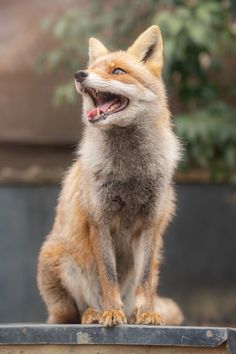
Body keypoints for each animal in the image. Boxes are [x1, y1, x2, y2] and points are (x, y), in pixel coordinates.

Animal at [37, 25, 183, 326]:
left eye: (117, 71)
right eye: (92, 68)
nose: (80, 74)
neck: (130, 173)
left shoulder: (150, 223)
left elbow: (145, 281)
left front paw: (147, 313)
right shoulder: (99, 220)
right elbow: (108, 276)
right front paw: (111, 312)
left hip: (156, 256)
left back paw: (131, 313)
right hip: (61, 262)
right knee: (74, 313)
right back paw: (94, 313)